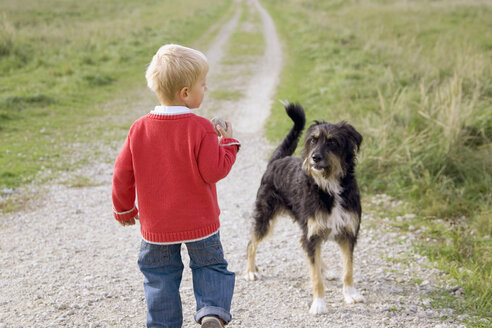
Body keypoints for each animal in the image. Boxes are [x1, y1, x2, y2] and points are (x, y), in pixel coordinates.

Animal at [245, 103, 366, 316]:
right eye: (313, 140)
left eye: (333, 142)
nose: (314, 158)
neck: (329, 186)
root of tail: (276, 160)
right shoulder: (313, 233)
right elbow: (315, 278)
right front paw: (319, 304)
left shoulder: (347, 234)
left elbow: (348, 269)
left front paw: (350, 294)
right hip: (266, 217)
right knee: (252, 242)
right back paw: (251, 271)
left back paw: (326, 269)